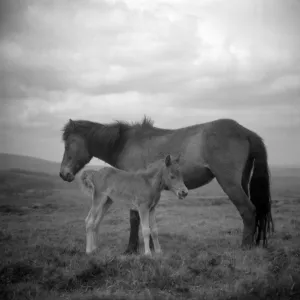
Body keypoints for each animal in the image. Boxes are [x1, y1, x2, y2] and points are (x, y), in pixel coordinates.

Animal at [59, 116, 274, 252]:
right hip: (242, 182)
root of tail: (245, 131)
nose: (63, 174)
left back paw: (244, 248)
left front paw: (130, 249)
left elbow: (134, 219)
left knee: (248, 210)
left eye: (68, 144)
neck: (125, 143)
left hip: (229, 183)